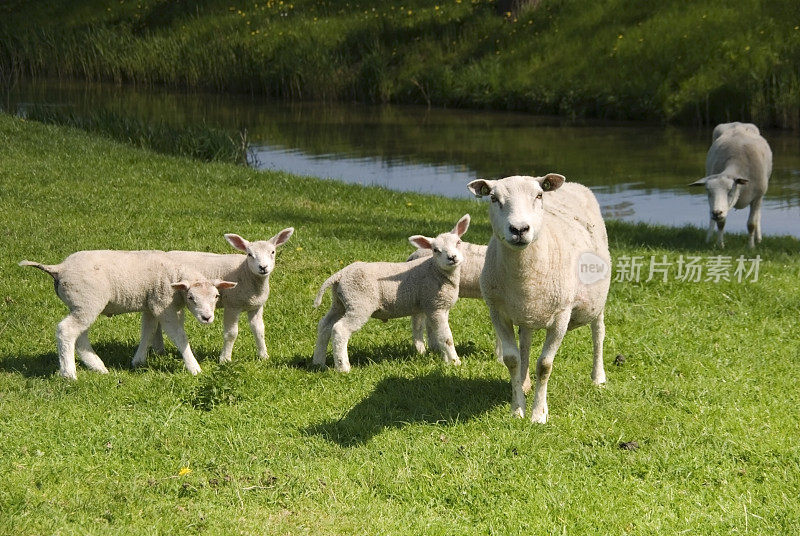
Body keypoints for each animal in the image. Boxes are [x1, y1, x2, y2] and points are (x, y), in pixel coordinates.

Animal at [18, 251, 236, 382]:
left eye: (216, 296)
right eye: (191, 297)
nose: (207, 318)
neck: (176, 276)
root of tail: (59, 268)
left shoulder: (151, 305)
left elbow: (147, 331)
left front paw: (138, 361)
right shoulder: (163, 305)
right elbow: (179, 337)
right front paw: (194, 368)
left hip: (82, 304)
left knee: (79, 336)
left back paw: (98, 367)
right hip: (87, 301)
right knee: (67, 330)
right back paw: (69, 373)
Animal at [145, 228, 294, 362]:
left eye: (273, 252)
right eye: (249, 254)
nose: (263, 267)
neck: (245, 273)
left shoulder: (256, 306)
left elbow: (259, 330)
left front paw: (263, 356)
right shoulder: (232, 305)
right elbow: (231, 334)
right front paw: (225, 359)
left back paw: (159, 350)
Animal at [312, 214, 472, 372]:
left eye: (459, 242)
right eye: (435, 250)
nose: (452, 257)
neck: (435, 270)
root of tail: (340, 274)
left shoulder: (437, 306)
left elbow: (438, 334)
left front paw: (445, 359)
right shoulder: (435, 305)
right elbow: (446, 337)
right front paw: (455, 362)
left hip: (340, 303)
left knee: (325, 326)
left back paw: (318, 362)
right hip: (359, 302)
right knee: (340, 329)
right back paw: (343, 367)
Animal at [466, 175, 608, 422]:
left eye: (539, 195)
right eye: (493, 198)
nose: (519, 229)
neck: (524, 275)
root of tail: (575, 185)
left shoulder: (561, 315)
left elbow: (545, 365)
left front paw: (539, 414)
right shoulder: (498, 312)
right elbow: (512, 359)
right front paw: (517, 410)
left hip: (597, 300)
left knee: (598, 333)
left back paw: (598, 377)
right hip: (527, 312)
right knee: (526, 342)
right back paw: (524, 382)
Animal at [692, 120, 772, 248]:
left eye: (730, 190)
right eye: (708, 191)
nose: (717, 213)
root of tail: (737, 123)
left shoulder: (757, 197)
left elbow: (751, 224)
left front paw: (751, 247)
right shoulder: (720, 208)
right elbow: (720, 223)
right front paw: (720, 245)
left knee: (758, 215)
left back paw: (758, 238)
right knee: (711, 218)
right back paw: (708, 238)